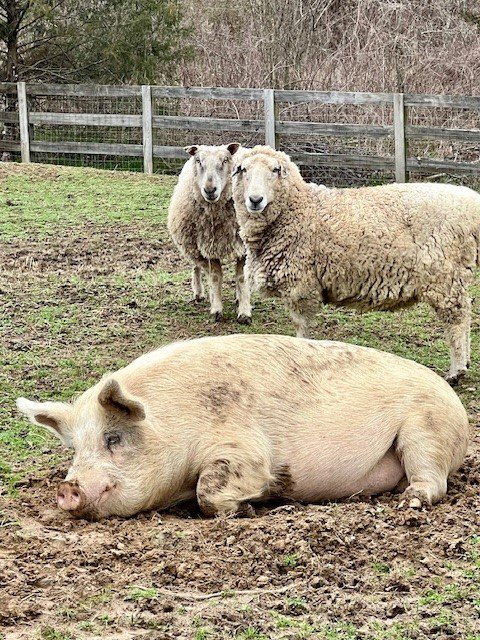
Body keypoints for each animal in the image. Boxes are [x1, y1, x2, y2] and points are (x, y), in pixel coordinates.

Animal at [167, 143, 251, 324]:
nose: (210, 189)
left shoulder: (243, 248)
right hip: (193, 245)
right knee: (197, 267)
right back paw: (199, 293)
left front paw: (244, 312)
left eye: (225, 160)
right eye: (199, 161)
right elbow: (214, 278)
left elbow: (241, 278)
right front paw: (217, 310)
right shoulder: (208, 246)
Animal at [231, 145, 480, 384]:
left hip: (444, 275)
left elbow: (300, 326)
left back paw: (457, 371)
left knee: (457, 320)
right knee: (465, 313)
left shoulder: (300, 285)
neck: (297, 208)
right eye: (243, 169)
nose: (255, 200)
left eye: (275, 170)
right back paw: (465, 362)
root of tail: (472, 204)